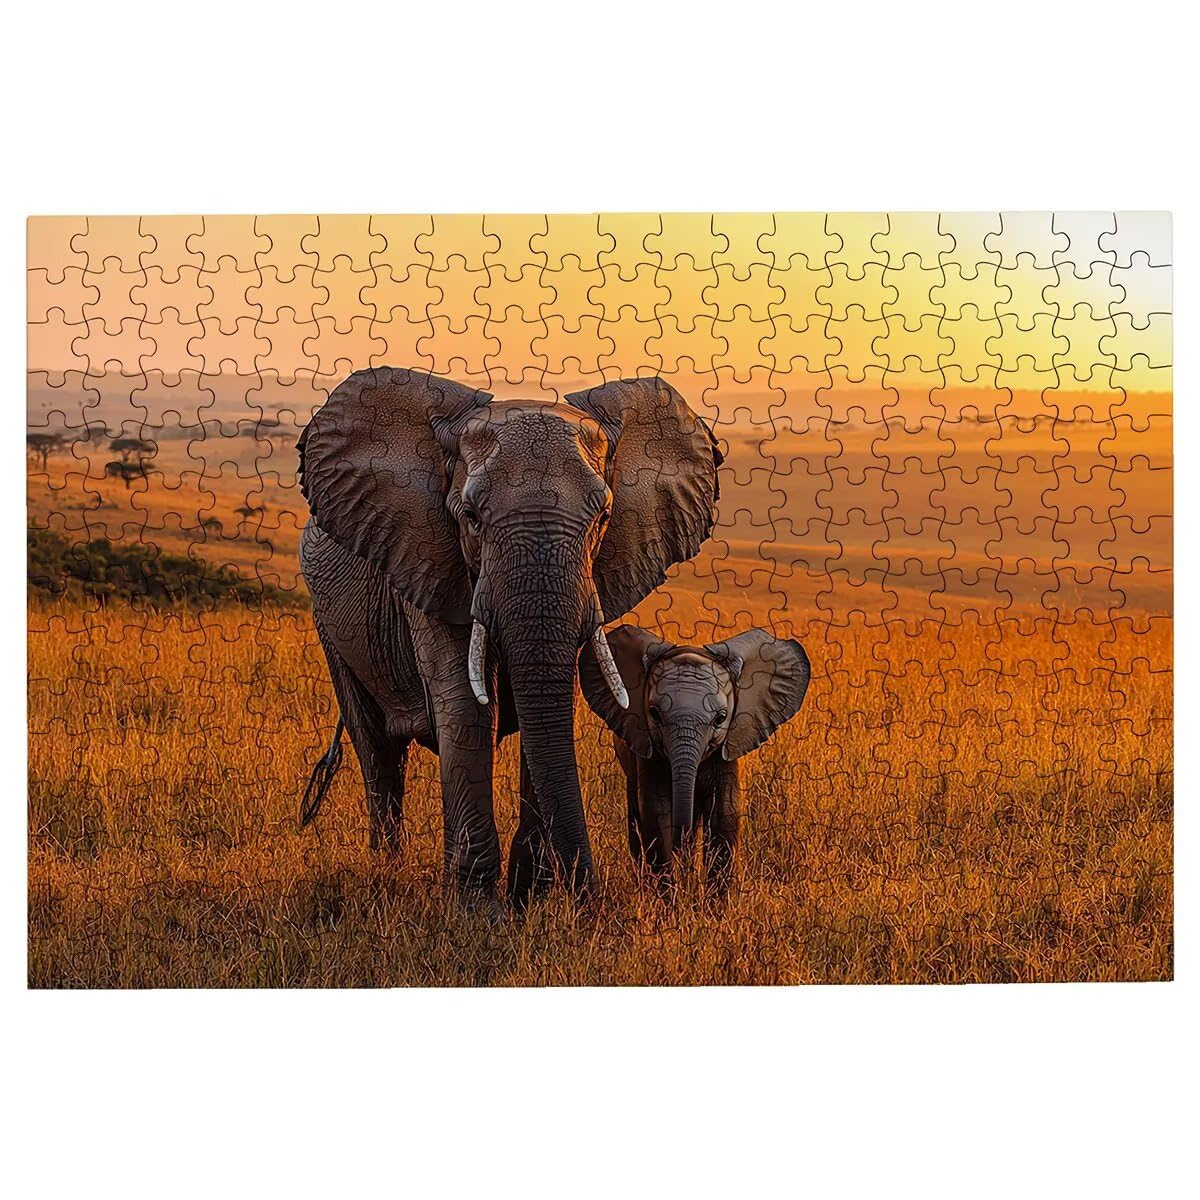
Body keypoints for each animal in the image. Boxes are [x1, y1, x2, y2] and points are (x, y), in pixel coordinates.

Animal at [297, 366, 722, 910]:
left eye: (603, 519)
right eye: (471, 518)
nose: (592, 901)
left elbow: (551, 705)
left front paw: (532, 901)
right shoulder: (428, 559)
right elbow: (465, 706)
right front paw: (480, 913)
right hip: (331, 626)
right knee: (376, 748)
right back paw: (386, 872)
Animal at [579, 626, 810, 890]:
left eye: (720, 719)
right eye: (654, 714)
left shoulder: (730, 747)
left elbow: (724, 812)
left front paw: (711, 900)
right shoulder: (646, 746)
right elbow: (656, 812)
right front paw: (670, 896)